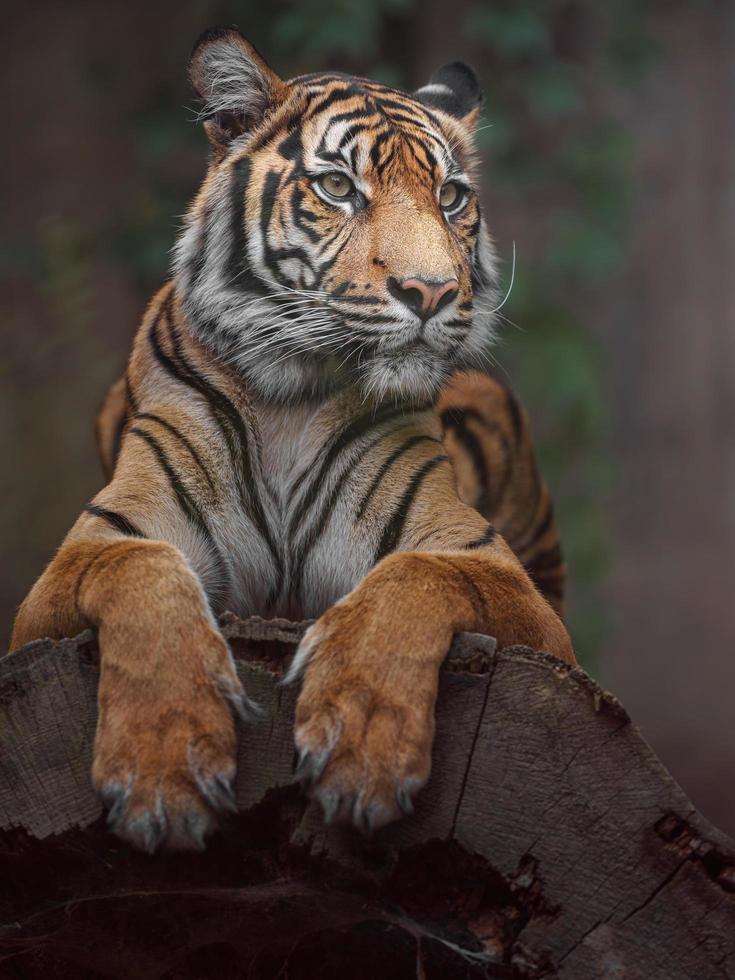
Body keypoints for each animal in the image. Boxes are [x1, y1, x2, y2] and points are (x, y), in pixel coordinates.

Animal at [12, 23, 576, 848]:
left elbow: (417, 574)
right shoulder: (81, 559)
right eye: (337, 187)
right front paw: (161, 771)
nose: (432, 291)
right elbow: (142, 567)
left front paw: (361, 746)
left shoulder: (501, 578)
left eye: (449, 197)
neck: (290, 395)